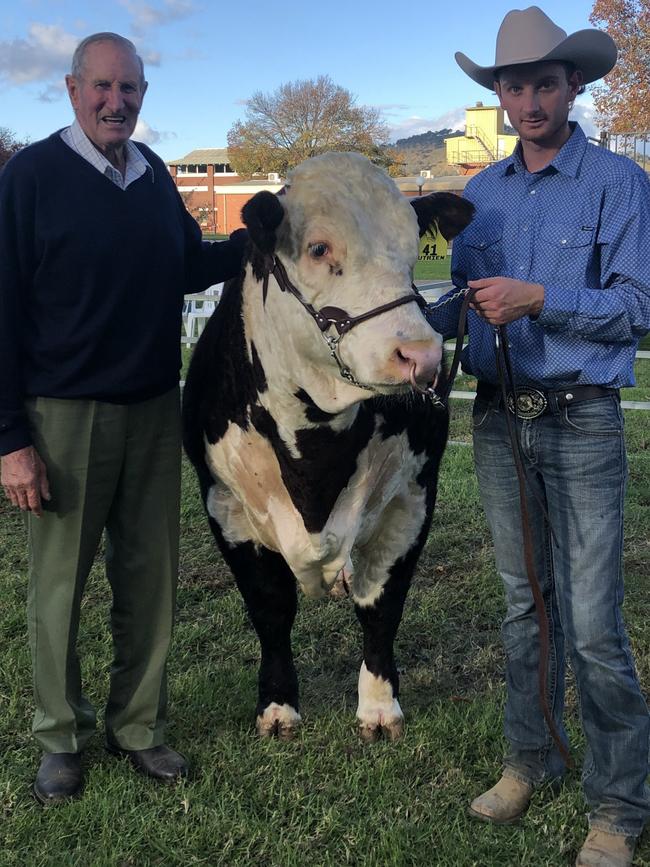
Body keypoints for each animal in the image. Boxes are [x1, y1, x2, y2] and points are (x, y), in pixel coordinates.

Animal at [182, 154, 470, 740]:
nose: (423, 357)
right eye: (318, 248)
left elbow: (381, 606)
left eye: (413, 249)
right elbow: (270, 608)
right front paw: (278, 708)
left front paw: (379, 709)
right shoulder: (225, 506)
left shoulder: (412, 498)